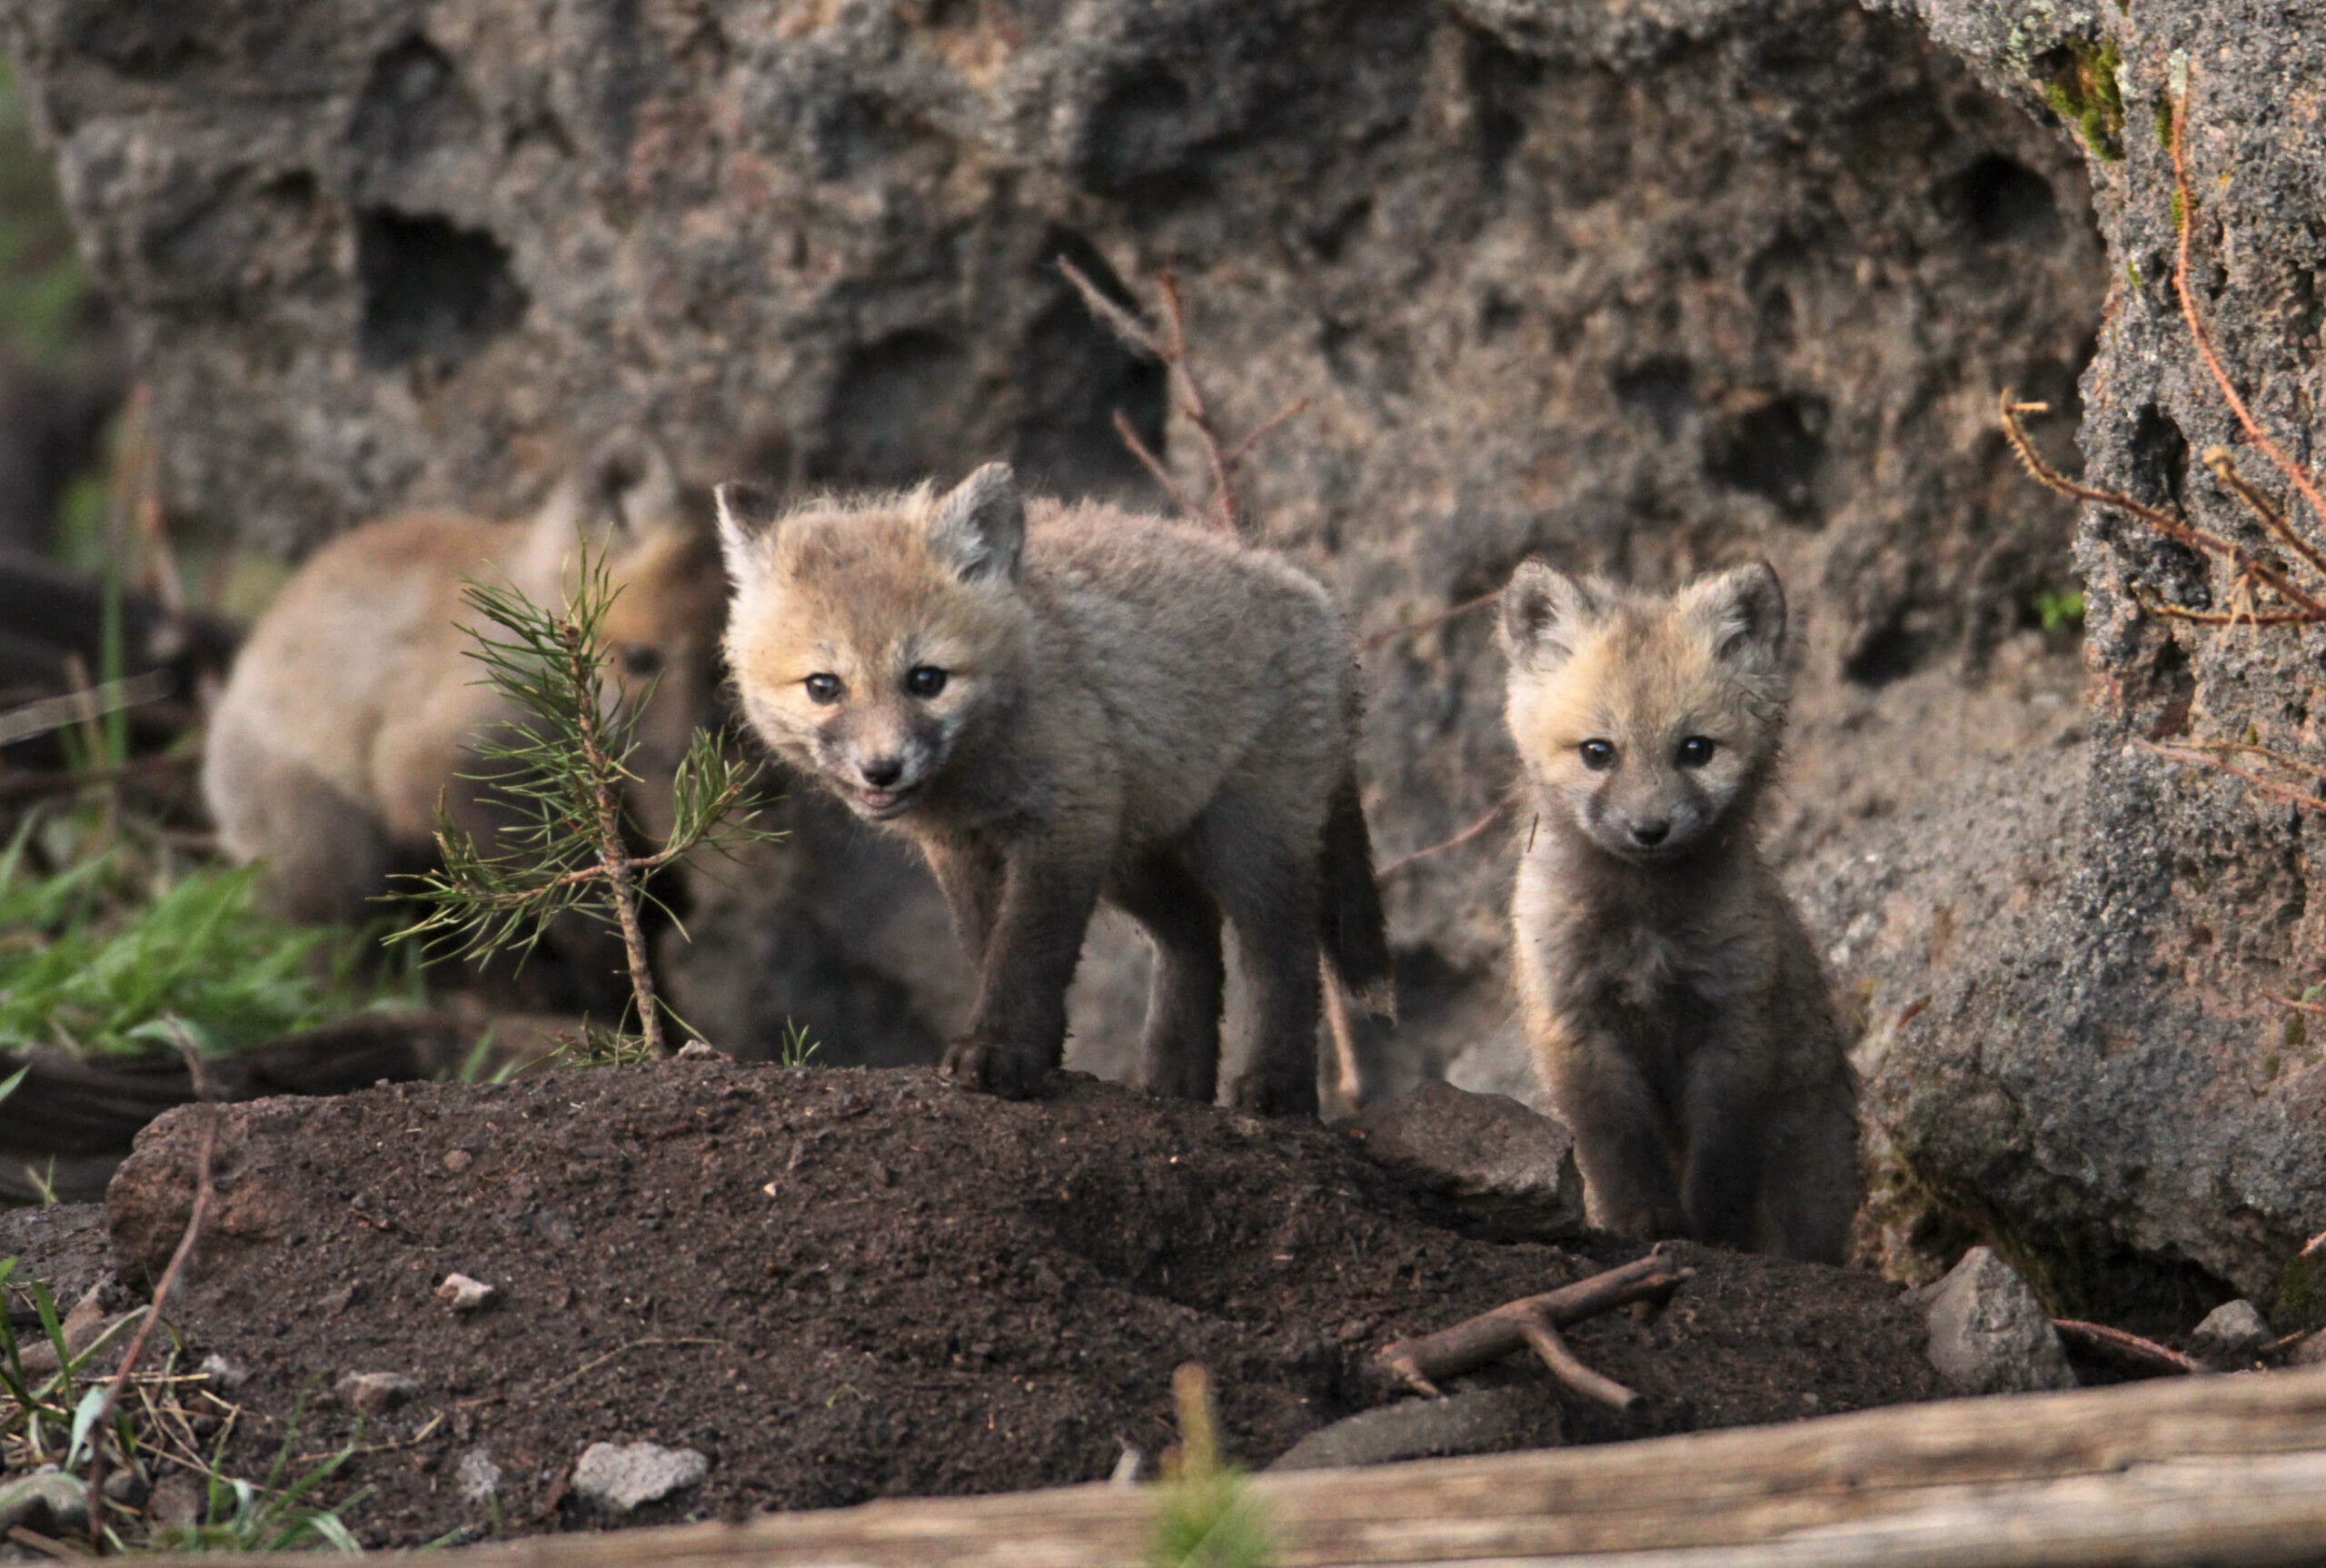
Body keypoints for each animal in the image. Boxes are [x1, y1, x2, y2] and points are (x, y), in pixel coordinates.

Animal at [203, 433, 728, 928]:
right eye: (641, 658)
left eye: (719, 668)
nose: (682, 755)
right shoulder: (424, 761)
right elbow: (542, 874)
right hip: (333, 855)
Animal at [714, 462, 1393, 1115]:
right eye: (823, 686)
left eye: (926, 680)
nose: (881, 770)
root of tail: (1321, 603)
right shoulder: (965, 849)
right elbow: (989, 946)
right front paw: (1037, 1051)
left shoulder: (1065, 825)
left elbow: (1029, 950)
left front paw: (1001, 1052)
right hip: (1132, 853)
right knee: (1195, 931)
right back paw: (1173, 1085)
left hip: (1248, 843)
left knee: (1284, 957)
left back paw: (1279, 1088)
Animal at [1499, 559, 1860, 1263]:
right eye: (1598, 752)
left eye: (1696, 750)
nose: (1650, 830)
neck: (1645, 929)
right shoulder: (1577, 1026)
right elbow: (1618, 1147)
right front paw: (1645, 1219)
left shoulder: (1733, 1022)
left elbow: (1721, 1158)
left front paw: (1713, 1230)